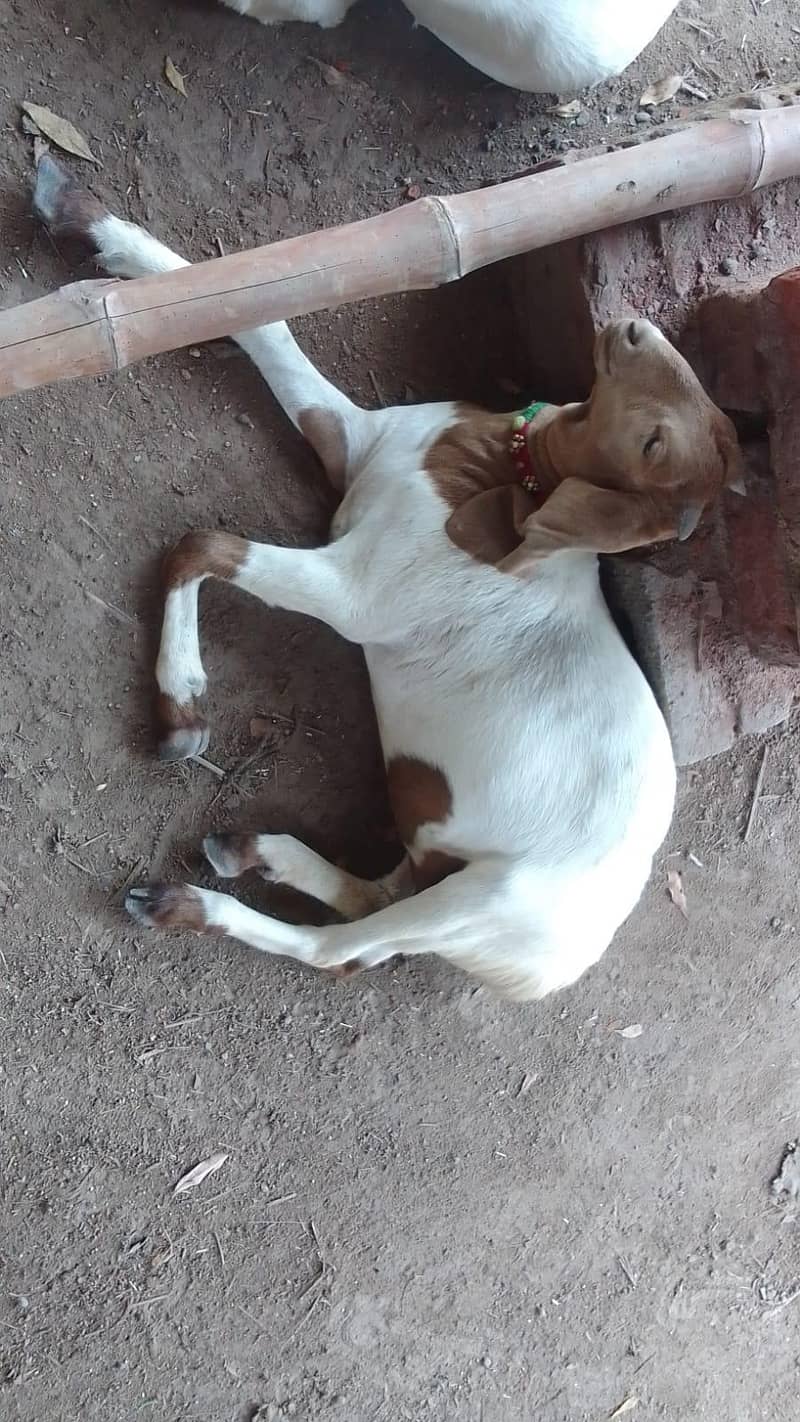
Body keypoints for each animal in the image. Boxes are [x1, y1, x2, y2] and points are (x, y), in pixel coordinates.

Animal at [34, 155, 743, 1001]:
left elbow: (200, 545)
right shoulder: (360, 443)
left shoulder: (359, 594)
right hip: (440, 869)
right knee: (375, 898)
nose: (633, 326)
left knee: (341, 952)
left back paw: (186, 901)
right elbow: (260, 322)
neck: (503, 479)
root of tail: (557, 967)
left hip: (481, 900)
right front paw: (85, 218)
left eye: (654, 444)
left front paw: (181, 708)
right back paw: (257, 851)